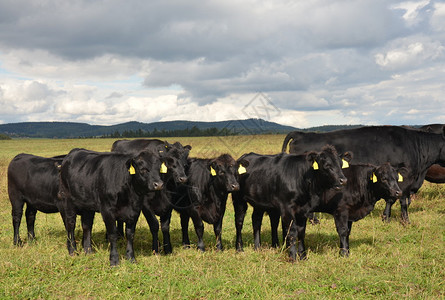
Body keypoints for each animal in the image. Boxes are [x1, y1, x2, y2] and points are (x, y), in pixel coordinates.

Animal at [280, 125, 444, 223]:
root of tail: (301, 134)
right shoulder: (405, 178)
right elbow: (401, 200)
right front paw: (404, 221)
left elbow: (394, 198)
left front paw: (386, 217)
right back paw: (313, 220)